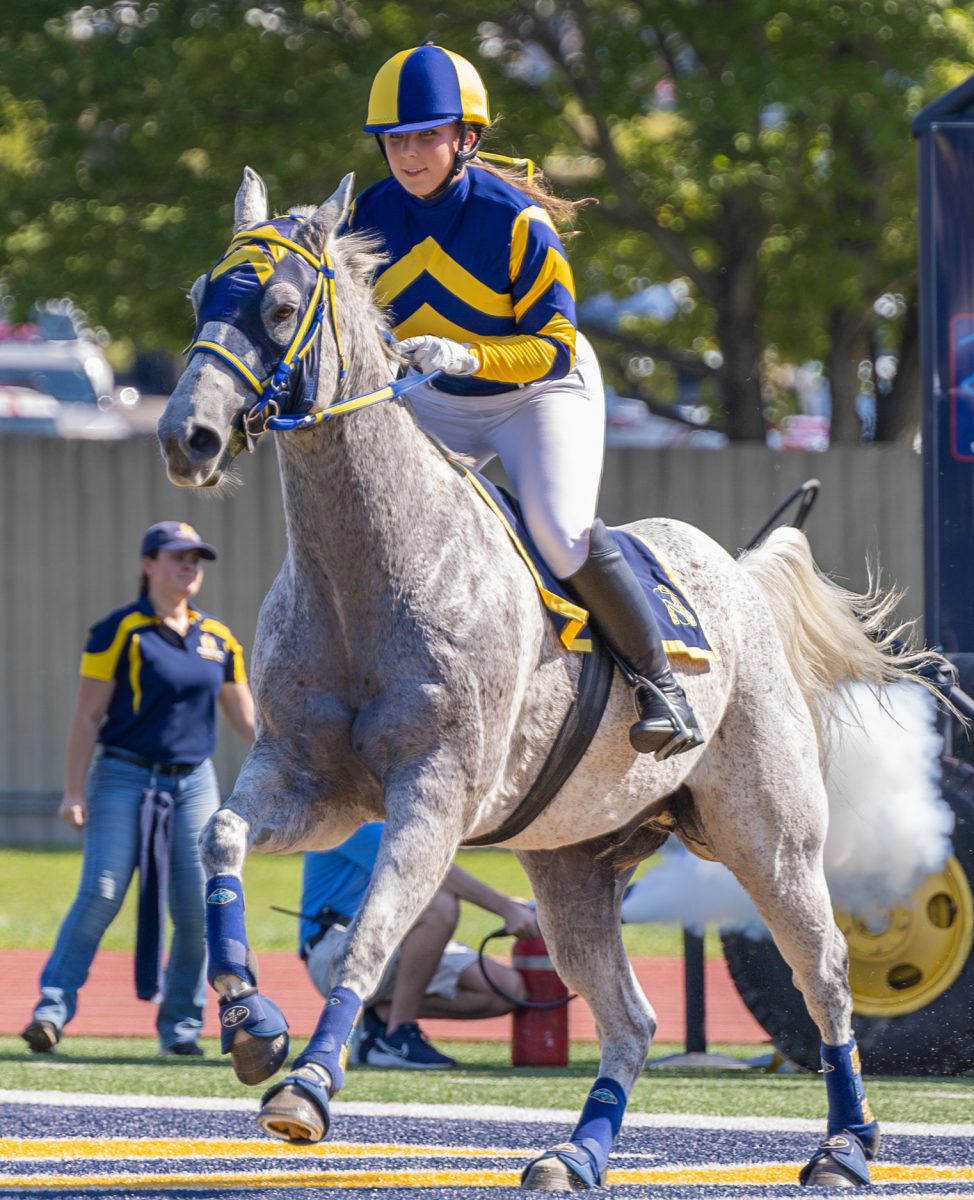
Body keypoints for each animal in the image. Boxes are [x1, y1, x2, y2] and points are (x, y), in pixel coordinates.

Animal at [158, 169, 935, 1190]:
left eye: (282, 308)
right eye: (200, 298)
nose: (189, 436)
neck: (366, 574)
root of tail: (737, 573)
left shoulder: (434, 793)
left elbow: (374, 928)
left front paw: (309, 1087)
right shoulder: (310, 781)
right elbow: (221, 837)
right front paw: (251, 1021)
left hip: (771, 841)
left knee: (827, 977)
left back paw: (845, 1148)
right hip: (573, 867)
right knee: (632, 1019)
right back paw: (577, 1154)